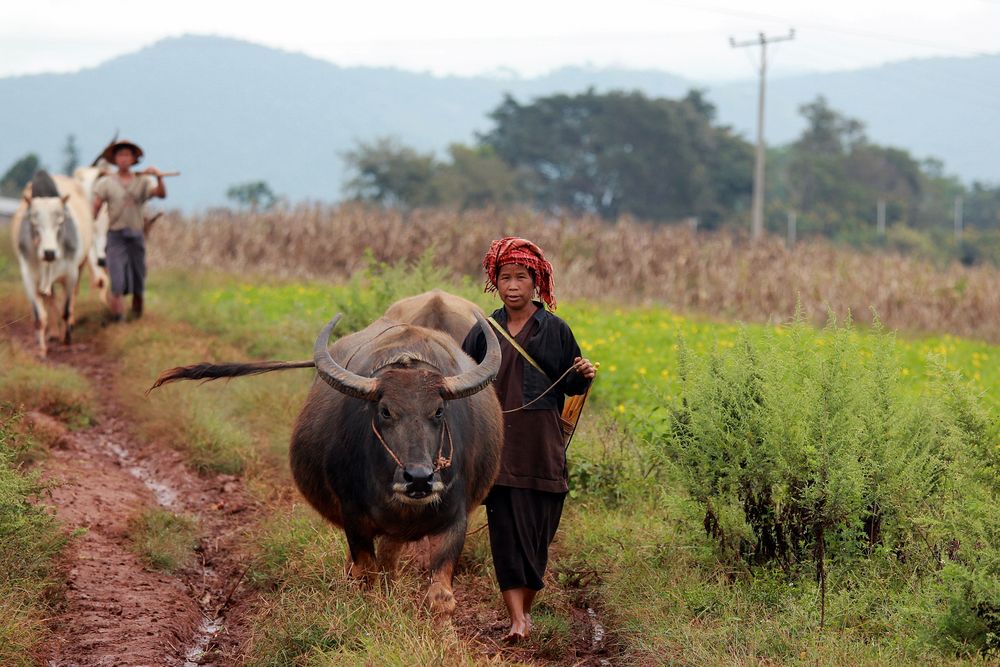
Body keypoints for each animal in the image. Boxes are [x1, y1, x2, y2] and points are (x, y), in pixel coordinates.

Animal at [11, 172, 94, 360]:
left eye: (60, 222)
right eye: (34, 222)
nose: (49, 252)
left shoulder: (71, 275)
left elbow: (66, 309)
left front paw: (67, 340)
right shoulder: (29, 277)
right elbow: (39, 317)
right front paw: (42, 349)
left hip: (81, 266)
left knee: (70, 301)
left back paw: (66, 330)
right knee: (51, 299)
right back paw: (54, 333)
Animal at [150, 298, 500, 620]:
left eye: (438, 411)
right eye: (385, 411)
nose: (419, 478)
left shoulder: (455, 517)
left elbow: (440, 597)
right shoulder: (354, 516)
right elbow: (366, 576)